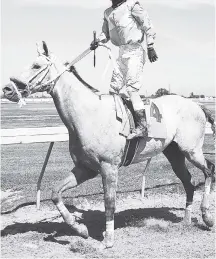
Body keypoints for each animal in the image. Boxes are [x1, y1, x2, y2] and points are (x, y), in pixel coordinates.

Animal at [2, 41, 215, 250]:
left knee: (209, 170)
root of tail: (197, 105)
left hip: (191, 151)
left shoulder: (109, 167)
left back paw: (206, 216)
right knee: (189, 181)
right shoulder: (85, 168)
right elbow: (55, 193)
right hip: (174, 153)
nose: (7, 89)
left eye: (36, 66)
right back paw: (186, 220)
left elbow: (109, 203)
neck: (88, 115)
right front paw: (80, 229)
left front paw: (108, 239)